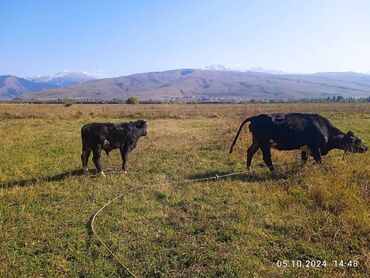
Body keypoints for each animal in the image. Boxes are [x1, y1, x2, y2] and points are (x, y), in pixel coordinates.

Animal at [228, 112, 368, 169]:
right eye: (358, 141)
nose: (366, 148)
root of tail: (255, 117)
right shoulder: (315, 147)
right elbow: (319, 161)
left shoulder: (305, 148)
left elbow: (304, 161)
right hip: (264, 142)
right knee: (266, 158)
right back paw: (274, 172)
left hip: (256, 141)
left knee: (250, 152)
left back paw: (249, 169)